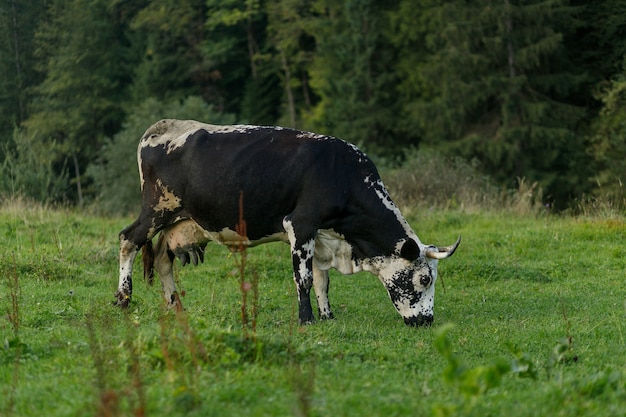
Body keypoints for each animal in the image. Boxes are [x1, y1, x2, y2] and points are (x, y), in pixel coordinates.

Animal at [116, 118, 458, 326]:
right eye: (424, 279)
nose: (427, 320)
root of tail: (165, 126)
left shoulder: (321, 236)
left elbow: (322, 280)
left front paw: (327, 315)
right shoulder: (300, 223)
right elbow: (303, 278)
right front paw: (306, 319)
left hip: (179, 222)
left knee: (163, 260)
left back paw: (175, 306)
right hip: (156, 210)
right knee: (127, 240)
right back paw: (123, 298)